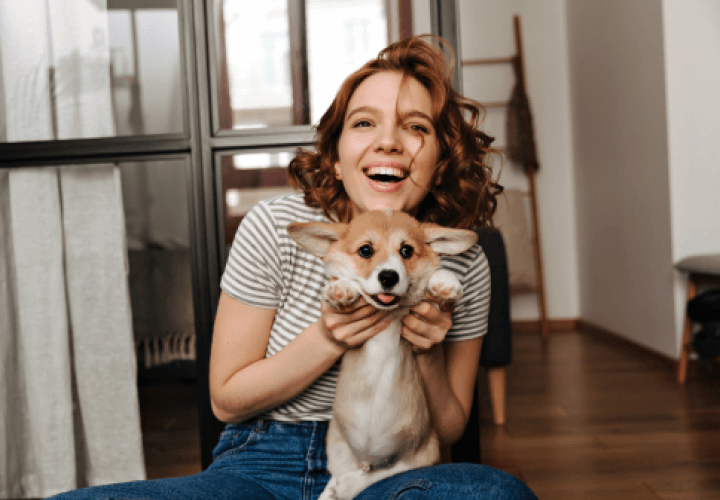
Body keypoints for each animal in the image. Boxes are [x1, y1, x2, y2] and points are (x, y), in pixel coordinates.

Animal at [287, 210, 478, 500]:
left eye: (406, 250)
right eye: (365, 250)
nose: (389, 277)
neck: (389, 314)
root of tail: (367, 460)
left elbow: (435, 277)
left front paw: (445, 281)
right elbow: (341, 283)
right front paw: (341, 288)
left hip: (423, 455)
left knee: (380, 475)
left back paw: (347, 486)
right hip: (337, 450)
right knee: (338, 478)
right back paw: (333, 491)